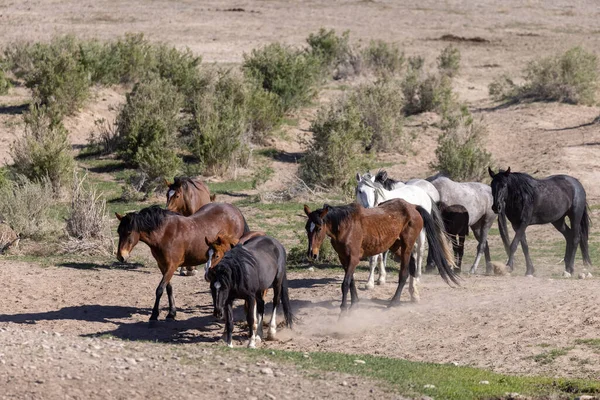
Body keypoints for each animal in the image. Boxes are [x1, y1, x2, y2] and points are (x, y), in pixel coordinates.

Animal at [115, 205, 248, 324]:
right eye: (118, 232)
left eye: (128, 232)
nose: (121, 256)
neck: (164, 234)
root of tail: (236, 211)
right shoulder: (162, 266)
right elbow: (168, 288)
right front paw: (171, 313)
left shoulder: (172, 266)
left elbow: (160, 289)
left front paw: (154, 315)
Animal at [304, 200, 460, 312]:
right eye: (307, 228)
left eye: (318, 228)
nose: (312, 253)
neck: (346, 226)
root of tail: (413, 207)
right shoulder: (344, 259)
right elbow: (351, 282)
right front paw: (354, 304)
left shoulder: (353, 259)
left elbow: (346, 283)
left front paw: (343, 311)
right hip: (396, 247)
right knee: (412, 266)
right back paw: (414, 295)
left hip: (406, 246)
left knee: (404, 273)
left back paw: (394, 302)